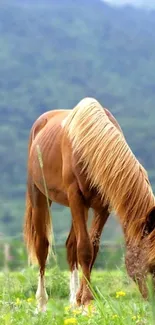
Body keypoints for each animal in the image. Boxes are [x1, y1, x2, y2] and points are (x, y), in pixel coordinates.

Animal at [23, 97, 155, 310]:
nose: (151, 304)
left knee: (70, 246)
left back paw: (72, 302)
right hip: (40, 196)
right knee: (42, 246)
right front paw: (85, 301)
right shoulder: (76, 197)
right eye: (152, 264)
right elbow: (84, 249)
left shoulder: (102, 206)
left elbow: (92, 248)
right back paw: (41, 304)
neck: (90, 146)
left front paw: (82, 300)